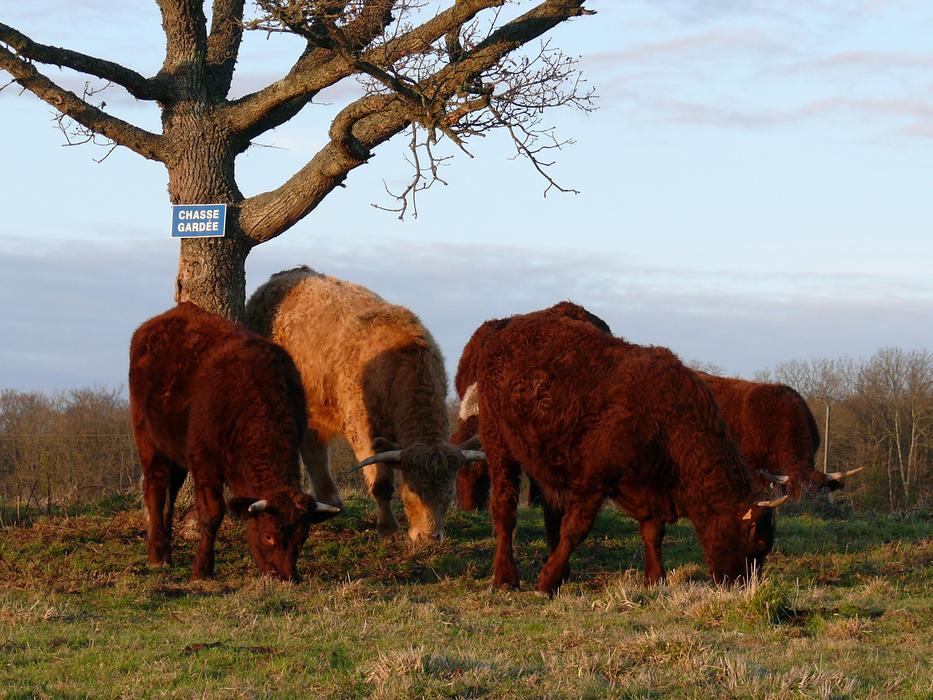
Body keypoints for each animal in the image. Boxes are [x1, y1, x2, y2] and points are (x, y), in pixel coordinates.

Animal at [129, 302, 340, 581]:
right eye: (268, 536)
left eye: (302, 538)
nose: (287, 577)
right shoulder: (205, 462)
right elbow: (211, 513)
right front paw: (202, 569)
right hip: (149, 441)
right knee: (155, 489)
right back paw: (157, 554)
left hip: (175, 451)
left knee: (170, 494)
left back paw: (167, 548)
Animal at [245, 267, 483, 542]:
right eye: (412, 491)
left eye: (449, 493)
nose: (429, 536)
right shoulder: (363, 428)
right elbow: (380, 483)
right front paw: (387, 529)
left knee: (314, 450)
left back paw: (331, 502)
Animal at [470, 309, 786, 594]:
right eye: (758, 543)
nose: (744, 586)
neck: (667, 419)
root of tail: (504, 328)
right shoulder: (593, 481)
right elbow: (576, 529)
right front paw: (547, 582)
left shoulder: (652, 488)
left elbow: (653, 533)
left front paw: (655, 579)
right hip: (499, 445)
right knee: (505, 508)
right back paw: (505, 578)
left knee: (550, 510)